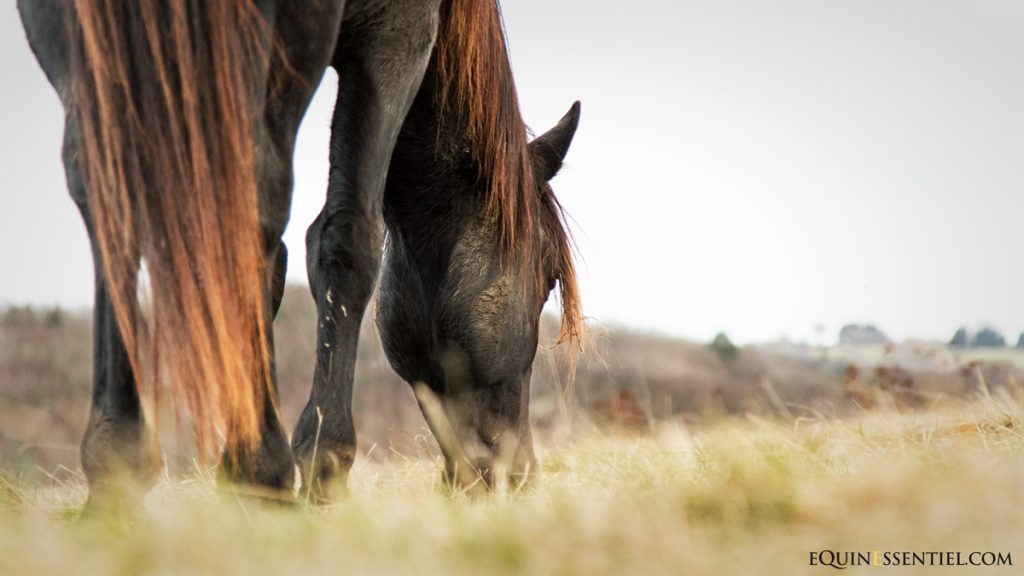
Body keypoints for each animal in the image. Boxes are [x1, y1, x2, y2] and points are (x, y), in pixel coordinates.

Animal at [18, 0, 581, 510]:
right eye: (548, 278)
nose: (522, 473)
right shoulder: (397, 36)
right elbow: (344, 238)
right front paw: (321, 466)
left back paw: (118, 469)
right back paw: (261, 469)